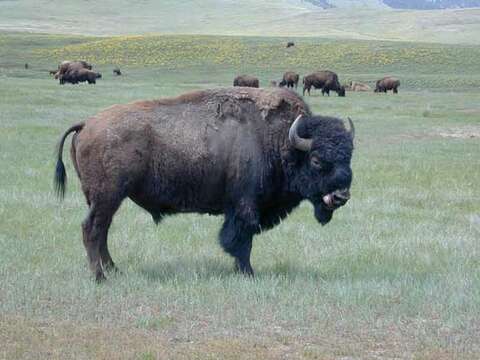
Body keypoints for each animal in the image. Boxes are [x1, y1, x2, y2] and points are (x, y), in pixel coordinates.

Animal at [54, 86, 354, 282]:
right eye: (316, 160)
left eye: (349, 155)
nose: (341, 196)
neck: (280, 141)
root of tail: (87, 123)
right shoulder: (244, 207)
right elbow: (241, 240)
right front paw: (248, 273)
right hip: (108, 196)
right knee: (92, 229)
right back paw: (100, 277)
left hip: (104, 199)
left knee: (102, 231)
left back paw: (114, 270)